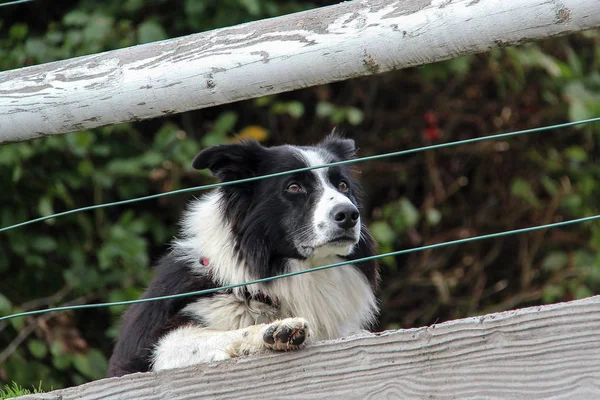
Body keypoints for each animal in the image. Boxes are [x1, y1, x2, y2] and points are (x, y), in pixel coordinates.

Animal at [108, 136, 380, 376]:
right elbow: (217, 335)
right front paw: (273, 331)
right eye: (294, 187)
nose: (349, 215)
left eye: (342, 185)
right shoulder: (146, 352)